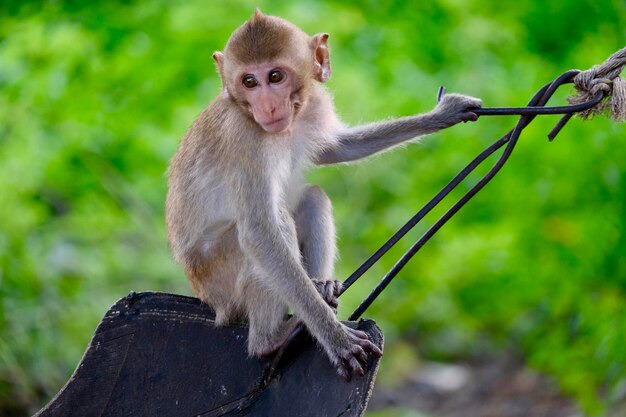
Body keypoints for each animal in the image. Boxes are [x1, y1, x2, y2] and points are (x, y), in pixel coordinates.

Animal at [165, 9, 478, 380]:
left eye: (275, 76)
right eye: (249, 82)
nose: (267, 107)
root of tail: (203, 296)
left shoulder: (314, 105)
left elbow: (338, 147)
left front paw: (442, 114)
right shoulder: (243, 138)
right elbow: (258, 232)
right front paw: (336, 338)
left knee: (313, 198)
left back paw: (319, 287)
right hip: (220, 280)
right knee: (270, 229)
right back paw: (271, 338)